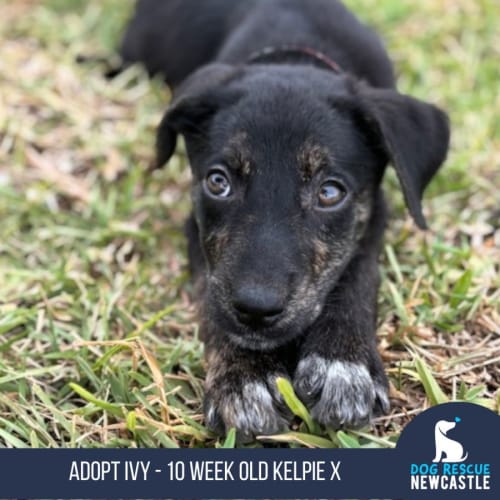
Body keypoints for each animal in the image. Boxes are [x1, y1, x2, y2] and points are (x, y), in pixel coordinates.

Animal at [118, 0, 450, 442]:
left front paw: (342, 362)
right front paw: (244, 378)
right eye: (218, 182)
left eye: (330, 192)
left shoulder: (374, 213)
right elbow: (211, 294)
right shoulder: (197, 225)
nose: (256, 310)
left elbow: (357, 276)